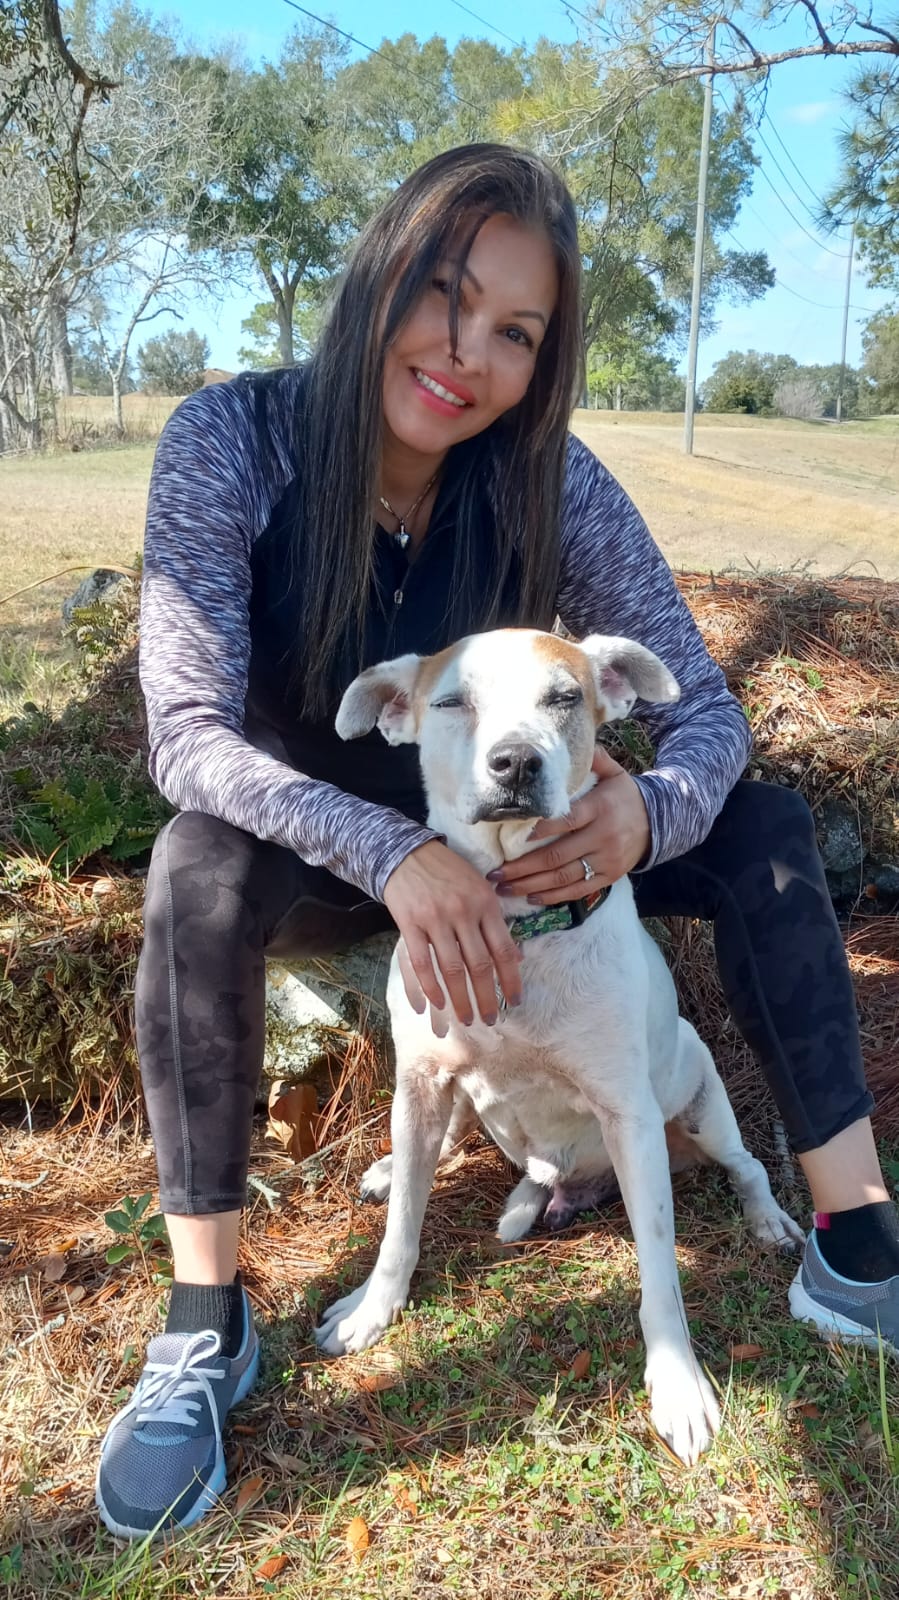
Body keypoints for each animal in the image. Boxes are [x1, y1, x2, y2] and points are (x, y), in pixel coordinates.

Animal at [314, 628, 803, 1464]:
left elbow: (659, 1268)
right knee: (451, 1152)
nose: (514, 762)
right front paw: (371, 1307)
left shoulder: (628, 1119)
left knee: (747, 1167)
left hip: (700, 1107)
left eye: (563, 698)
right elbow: (402, 1225)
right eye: (452, 701)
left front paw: (678, 1385)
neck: (515, 926)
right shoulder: (421, 1083)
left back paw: (766, 1220)